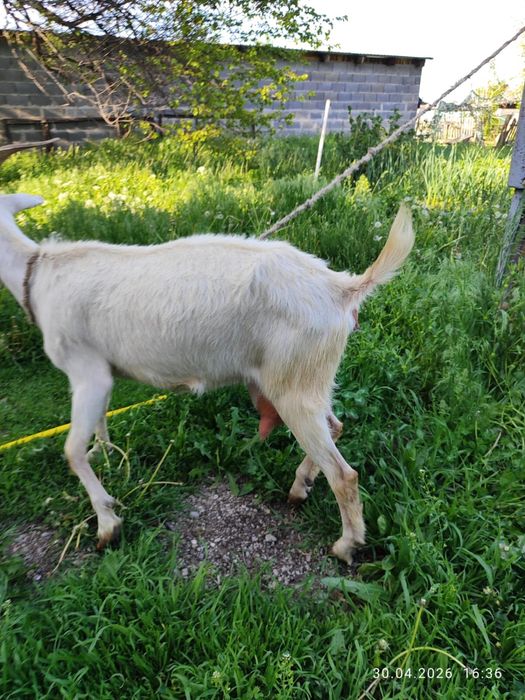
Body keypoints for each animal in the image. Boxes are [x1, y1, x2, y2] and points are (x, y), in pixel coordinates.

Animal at [0, 193, 414, 564]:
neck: (37, 275)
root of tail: (342, 288)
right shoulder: (101, 372)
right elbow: (99, 422)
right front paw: (106, 452)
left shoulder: (86, 370)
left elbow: (71, 451)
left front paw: (107, 524)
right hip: (310, 379)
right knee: (335, 426)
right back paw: (301, 487)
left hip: (294, 384)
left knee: (344, 474)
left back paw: (345, 545)